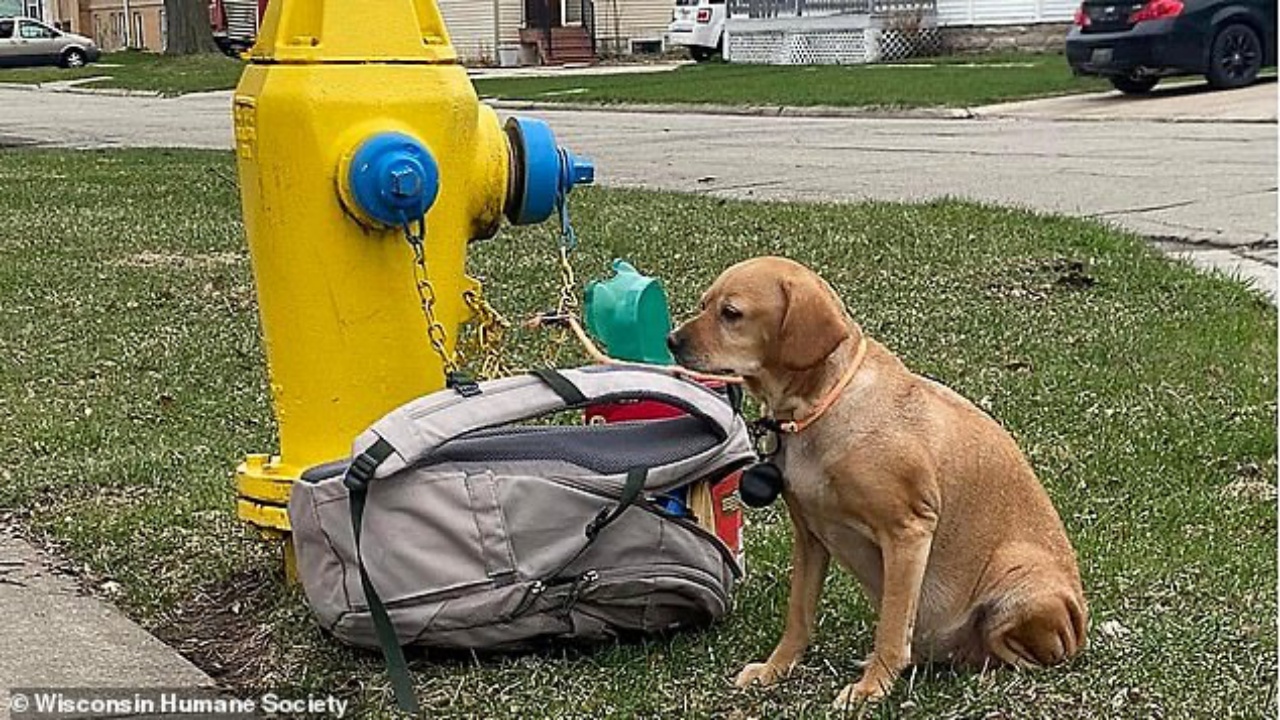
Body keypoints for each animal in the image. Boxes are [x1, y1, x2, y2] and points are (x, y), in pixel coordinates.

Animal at [670, 254, 1090, 702]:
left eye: (731, 313)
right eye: (704, 303)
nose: (671, 340)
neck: (818, 408)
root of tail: (1079, 627)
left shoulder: (909, 531)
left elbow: (890, 628)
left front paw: (871, 688)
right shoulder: (810, 537)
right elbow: (799, 616)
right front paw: (775, 669)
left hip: (1019, 584)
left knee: (1023, 656)